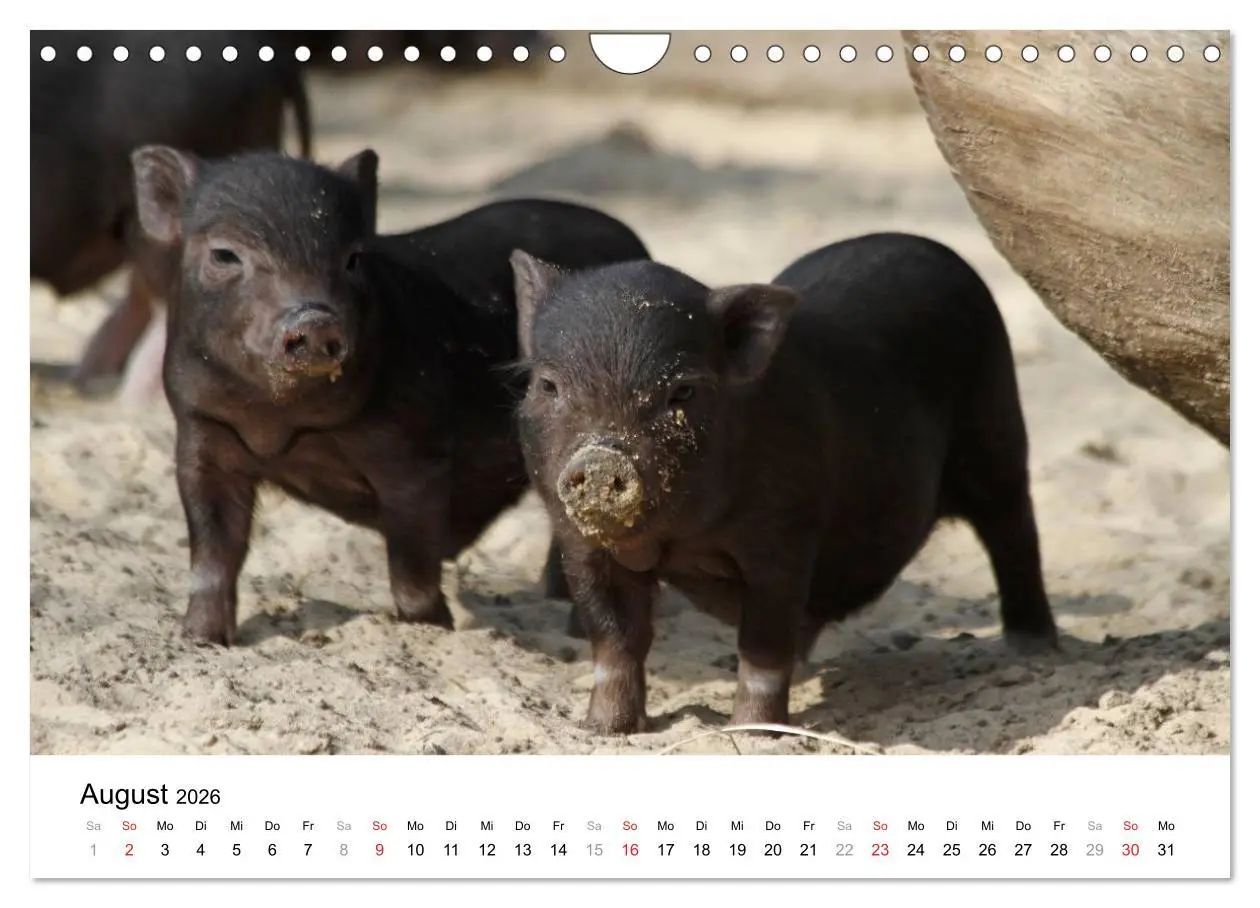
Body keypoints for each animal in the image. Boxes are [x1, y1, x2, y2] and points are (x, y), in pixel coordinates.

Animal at [130, 145, 650, 646]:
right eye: (224, 255)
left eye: (353, 258)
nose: (314, 320)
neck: (280, 424)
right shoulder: (200, 433)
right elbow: (214, 552)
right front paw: (200, 639)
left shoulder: (416, 454)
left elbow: (412, 563)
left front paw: (434, 626)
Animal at [511, 233, 1060, 734]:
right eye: (548, 385)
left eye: (681, 391)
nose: (603, 456)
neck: (683, 541)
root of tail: (930, 246)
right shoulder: (580, 543)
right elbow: (615, 640)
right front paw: (604, 730)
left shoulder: (784, 535)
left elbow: (763, 646)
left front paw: (753, 733)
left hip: (998, 435)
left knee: (1015, 533)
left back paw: (1034, 648)